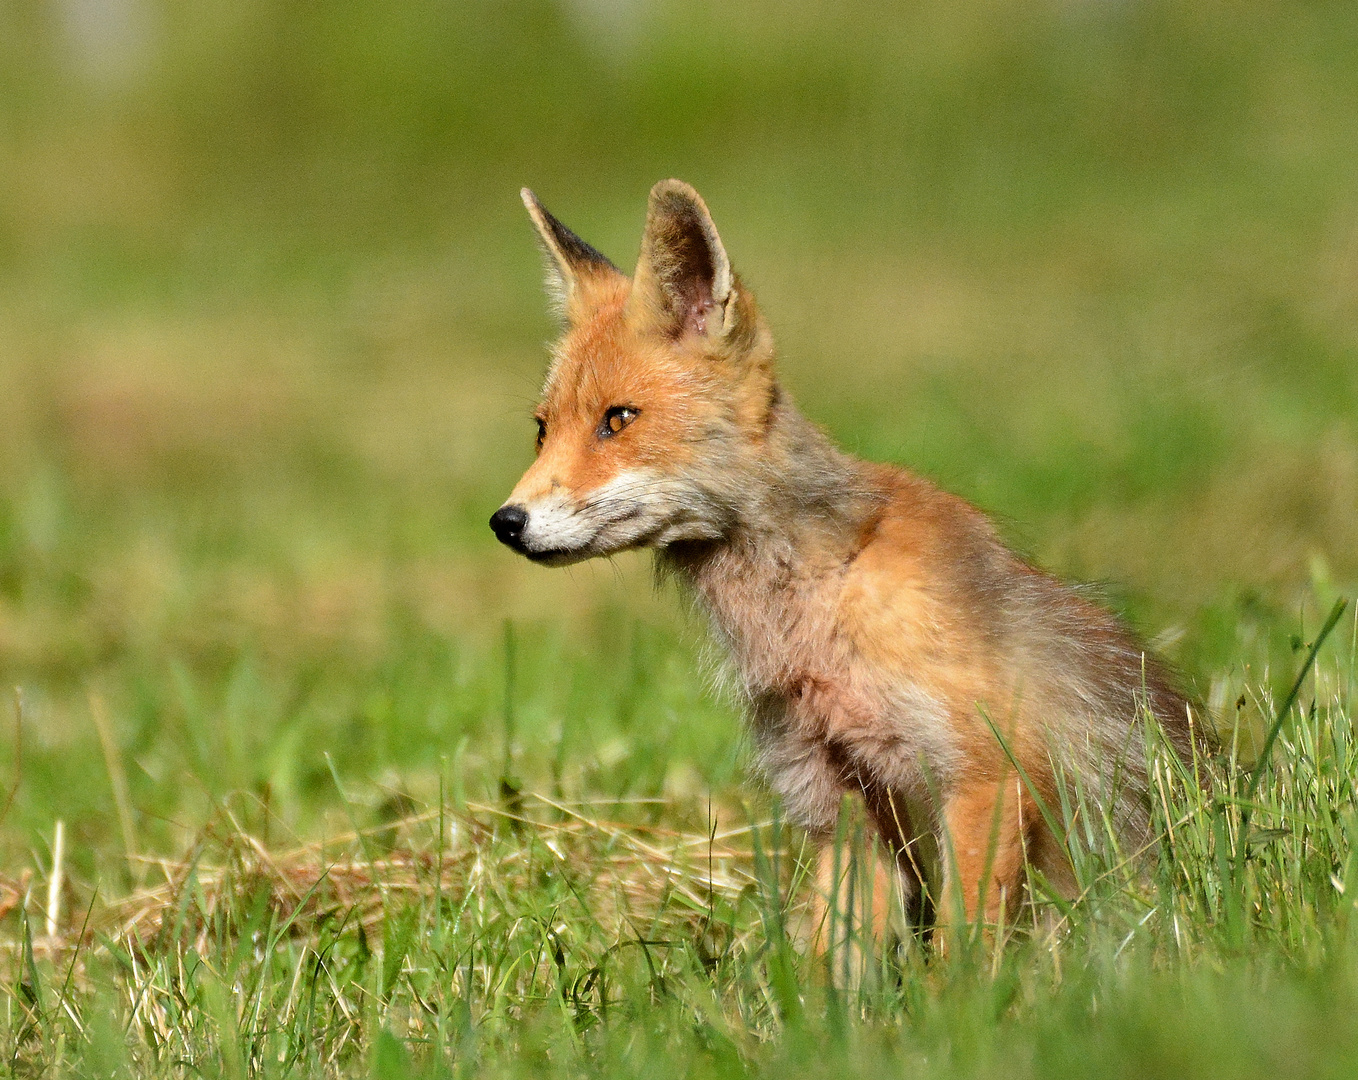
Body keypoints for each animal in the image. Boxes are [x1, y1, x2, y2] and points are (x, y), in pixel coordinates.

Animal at [488, 182, 1200, 950]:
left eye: (617, 419)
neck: (820, 600)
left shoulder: (989, 771)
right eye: (542, 429)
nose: (506, 522)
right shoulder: (841, 801)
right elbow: (833, 963)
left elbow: (961, 951)